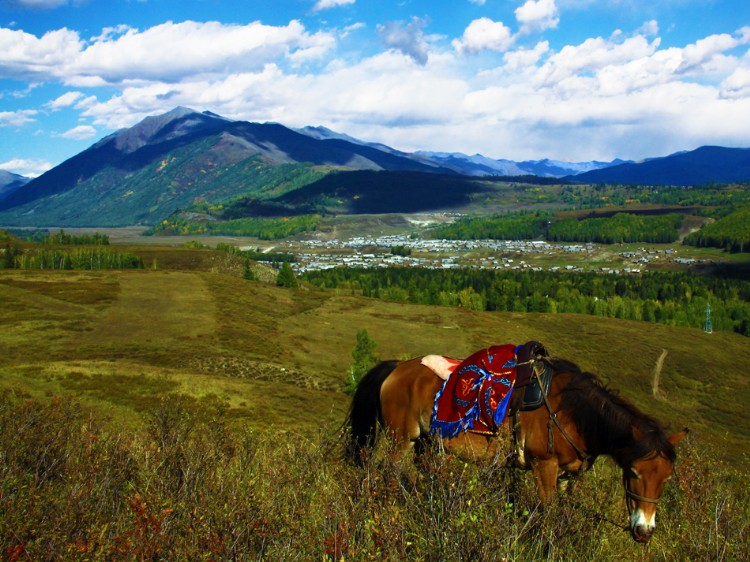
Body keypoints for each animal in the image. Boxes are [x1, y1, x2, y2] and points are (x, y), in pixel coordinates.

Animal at [346, 350, 688, 544]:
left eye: (667, 479)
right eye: (634, 472)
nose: (644, 531)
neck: (571, 412)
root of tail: (396, 368)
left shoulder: (569, 475)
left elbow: (562, 512)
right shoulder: (544, 465)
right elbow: (547, 513)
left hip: (427, 443)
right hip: (401, 439)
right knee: (389, 475)